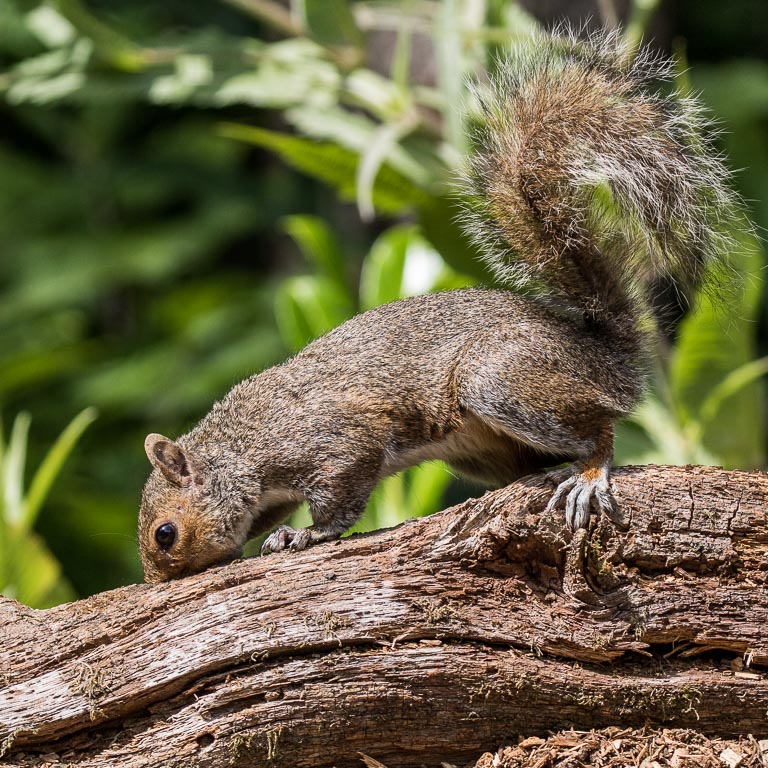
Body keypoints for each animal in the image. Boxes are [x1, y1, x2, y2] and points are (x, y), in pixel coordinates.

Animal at [138, 28, 736, 584]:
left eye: (165, 533)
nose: (155, 583)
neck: (244, 448)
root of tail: (604, 355)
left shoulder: (334, 440)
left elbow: (340, 496)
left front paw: (305, 534)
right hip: (479, 448)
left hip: (501, 379)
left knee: (600, 430)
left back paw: (588, 473)